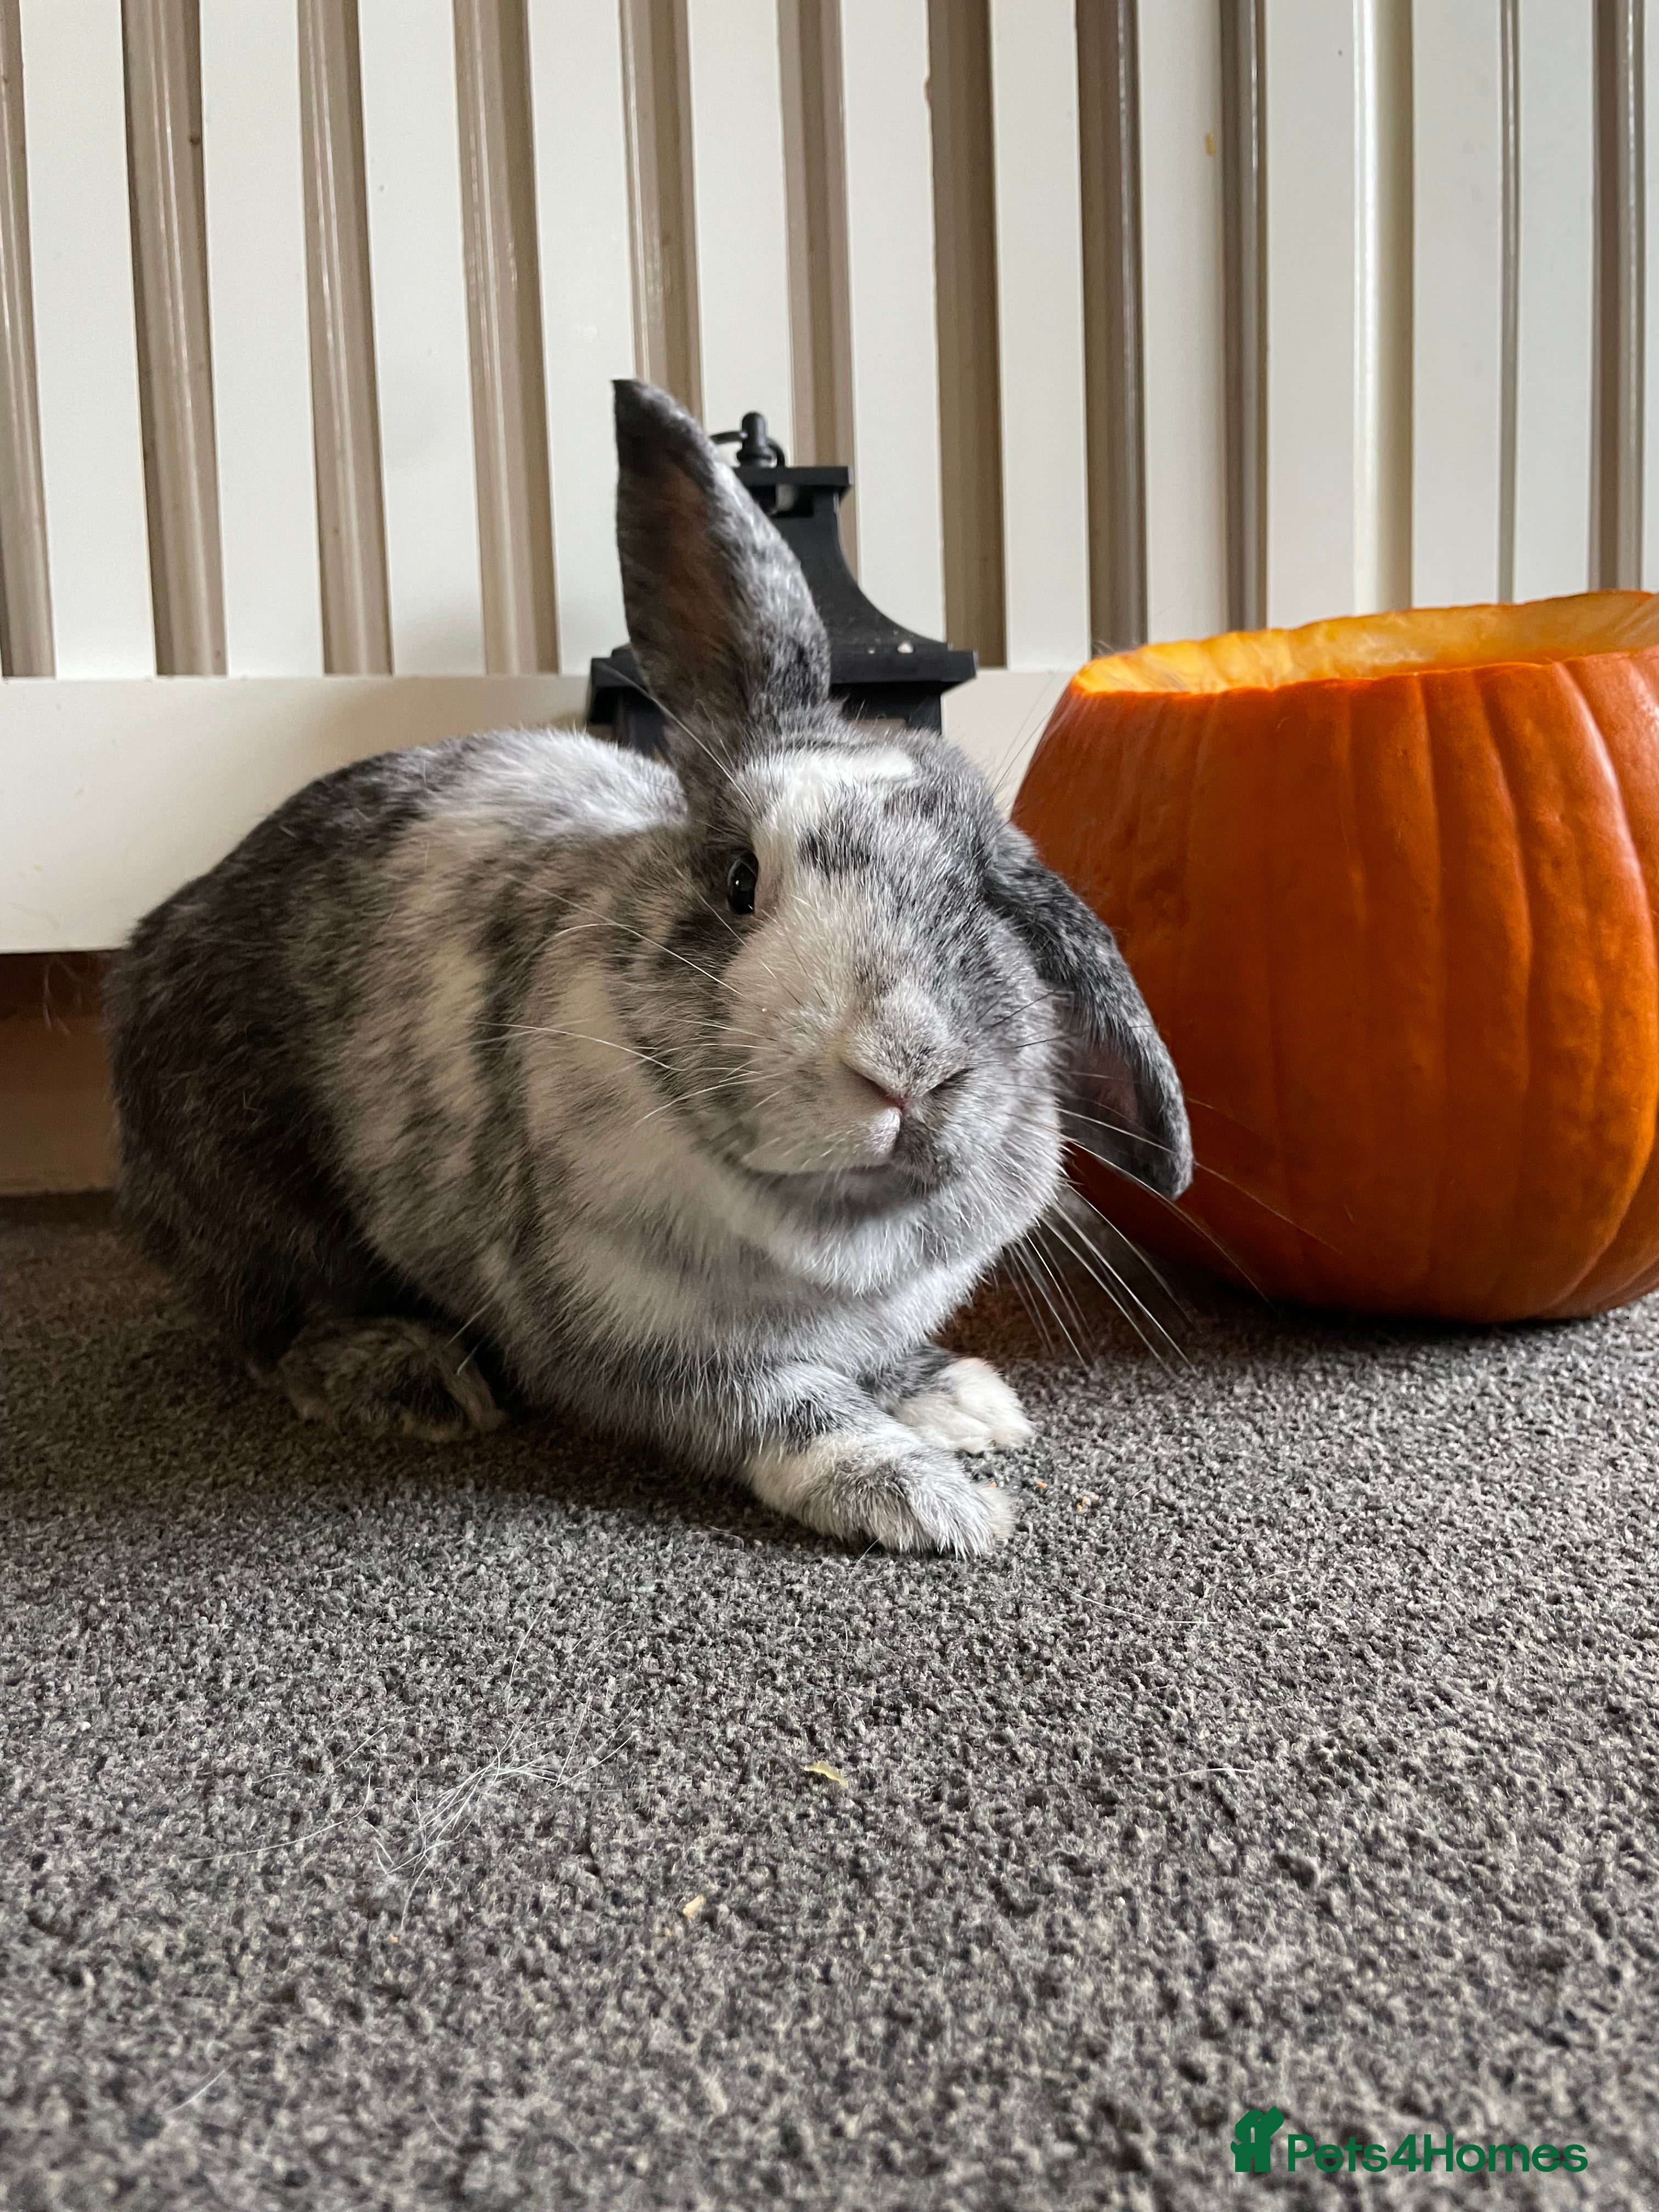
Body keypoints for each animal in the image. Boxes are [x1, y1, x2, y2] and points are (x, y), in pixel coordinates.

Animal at [105, 379, 1191, 1558]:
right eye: (736, 880)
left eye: (992, 893)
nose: (904, 1068)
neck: (829, 1231)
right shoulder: (632, 1340)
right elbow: (787, 1404)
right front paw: (928, 1500)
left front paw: (960, 1399)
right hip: (257, 1189)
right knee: (270, 1324)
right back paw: (407, 1376)